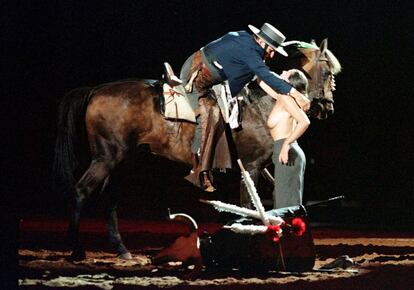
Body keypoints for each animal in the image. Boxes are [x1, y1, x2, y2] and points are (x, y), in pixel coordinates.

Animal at [54, 39, 340, 260]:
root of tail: (96, 90)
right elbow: (249, 204)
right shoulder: (251, 167)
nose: (327, 108)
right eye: (327, 73)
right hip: (107, 157)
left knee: (110, 199)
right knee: (81, 191)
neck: (262, 102)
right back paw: (77, 250)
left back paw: (121, 249)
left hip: (123, 160)